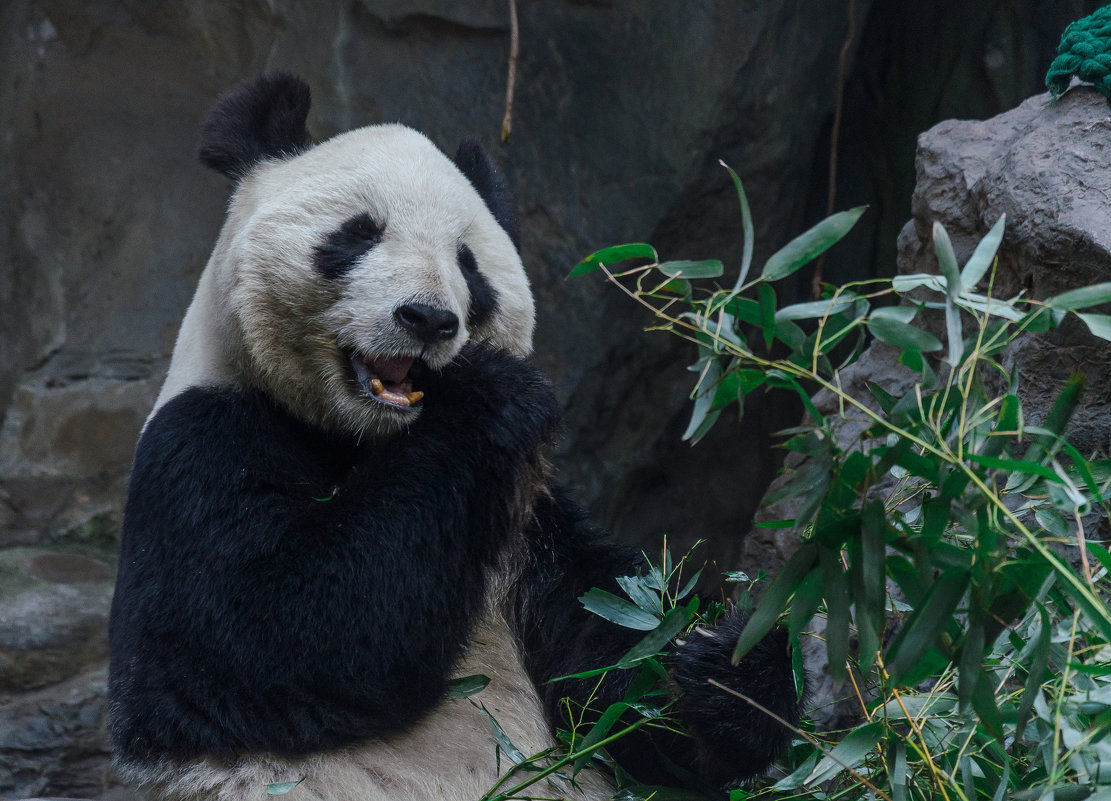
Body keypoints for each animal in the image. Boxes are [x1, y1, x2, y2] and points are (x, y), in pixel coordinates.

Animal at [108, 74, 799, 799]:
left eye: (468, 265)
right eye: (358, 233)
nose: (427, 318)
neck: (365, 436)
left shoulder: (525, 518)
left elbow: (611, 660)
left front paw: (729, 674)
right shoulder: (202, 446)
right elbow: (270, 634)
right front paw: (486, 391)